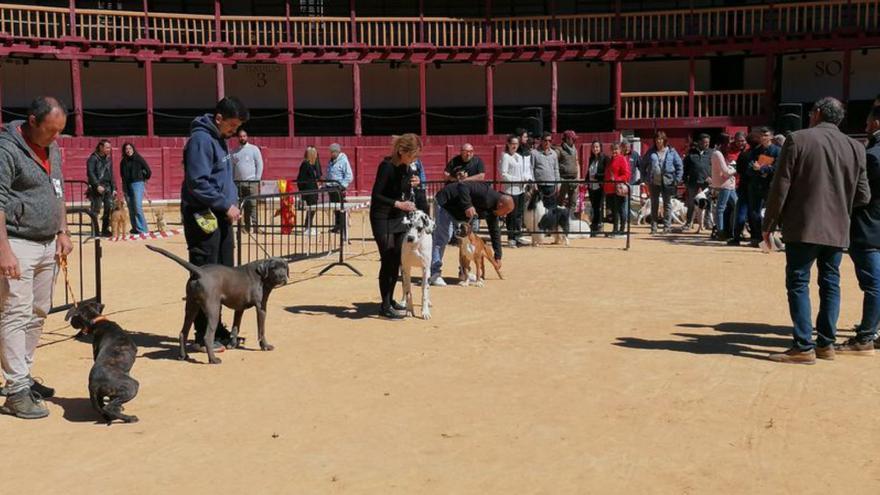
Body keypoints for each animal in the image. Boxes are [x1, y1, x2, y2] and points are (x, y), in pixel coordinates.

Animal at [145, 244, 288, 364]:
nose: (283, 277)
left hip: (191, 307)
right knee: (207, 336)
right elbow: (261, 330)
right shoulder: (261, 307)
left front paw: (232, 344)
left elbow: (235, 328)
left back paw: (183, 356)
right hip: (213, 309)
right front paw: (265, 346)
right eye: (274, 268)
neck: (262, 276)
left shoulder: (239, 308)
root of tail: (199, 272)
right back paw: (213, 359)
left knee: (183, 332)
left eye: (285, 267)